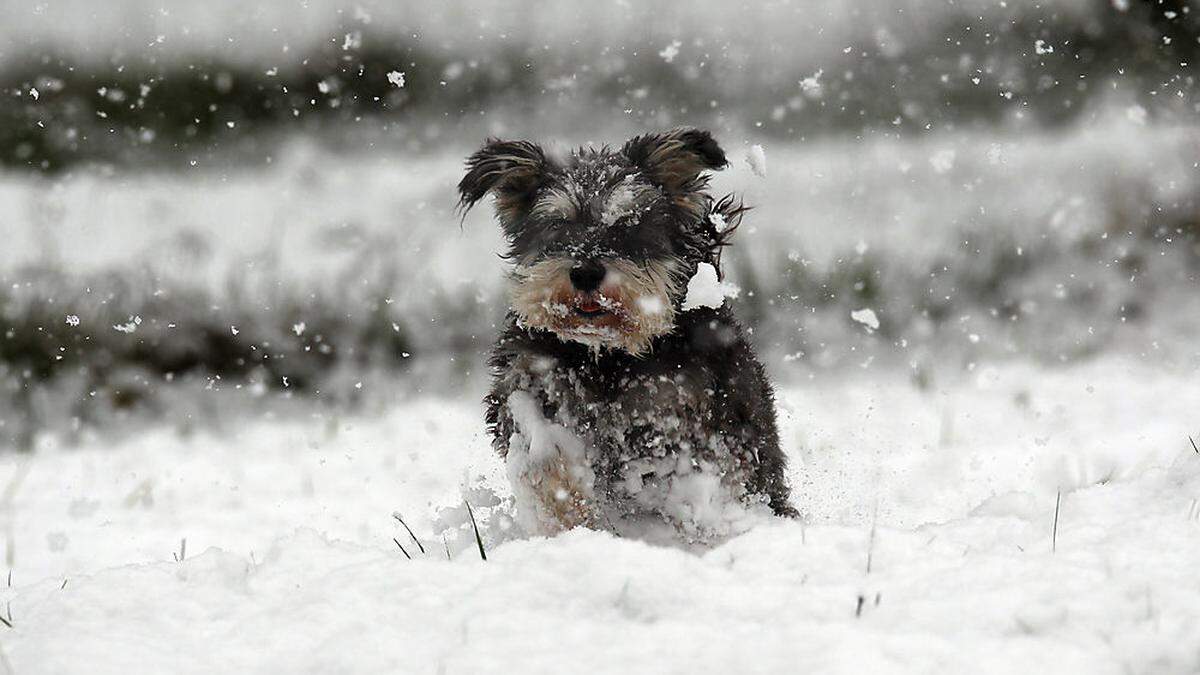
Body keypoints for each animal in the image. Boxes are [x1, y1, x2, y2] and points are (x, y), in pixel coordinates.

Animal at [458, 127, 796, 540]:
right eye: (557, 225)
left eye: (629, 225)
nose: (585, 272)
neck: (605, 353)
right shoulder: (529, 385)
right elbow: (547, 461)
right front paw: (571, 520)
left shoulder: (699, 415)